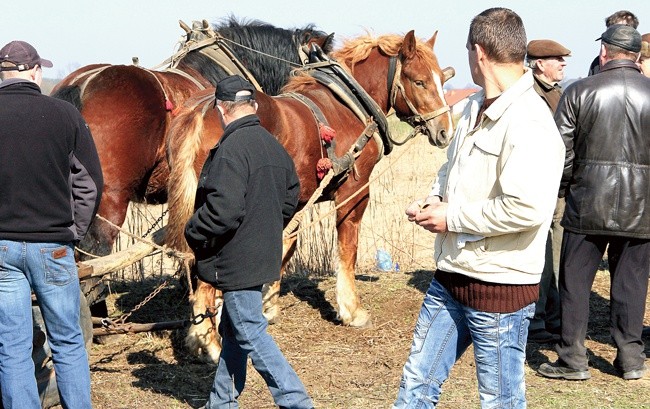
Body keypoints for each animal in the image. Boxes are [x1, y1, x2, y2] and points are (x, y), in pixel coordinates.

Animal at [165, 29, 454, 360]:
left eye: (441, 79)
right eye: (419, 81)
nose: (445, 131)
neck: (346, 104)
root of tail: (200, 110)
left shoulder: (296, 200)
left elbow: (284, 247)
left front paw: (267, 306)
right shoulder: (354, 192)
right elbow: (347, 248)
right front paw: (351, 310)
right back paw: (209, 341)